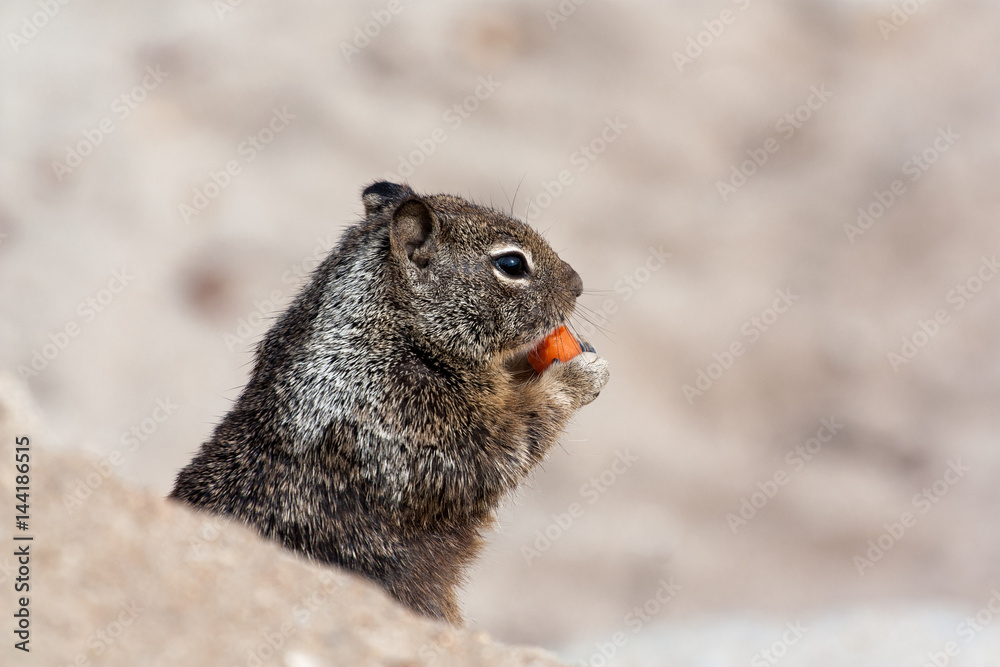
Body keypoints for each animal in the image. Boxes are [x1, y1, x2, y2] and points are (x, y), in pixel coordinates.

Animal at [170, 182, 609, 624]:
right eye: (512, 264)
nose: (577, 283)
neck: (395, 330)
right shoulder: (422, 426)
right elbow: (517, 437)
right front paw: (579, 373)